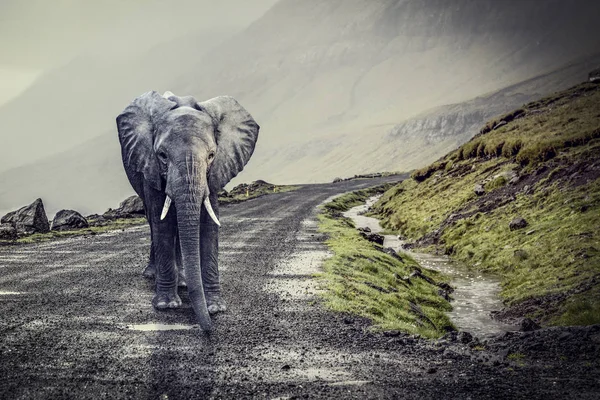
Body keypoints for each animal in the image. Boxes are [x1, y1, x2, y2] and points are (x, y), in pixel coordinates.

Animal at [116, 90, 258, 332]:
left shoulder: (216, 171)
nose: (209, 330)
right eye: (162, 155)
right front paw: (166, 305)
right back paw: (153, 275)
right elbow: (162, 224)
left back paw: (182, 280)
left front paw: (216, 307)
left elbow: (209, 225)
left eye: (211, 155)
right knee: (155, 222)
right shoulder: (149, 166)